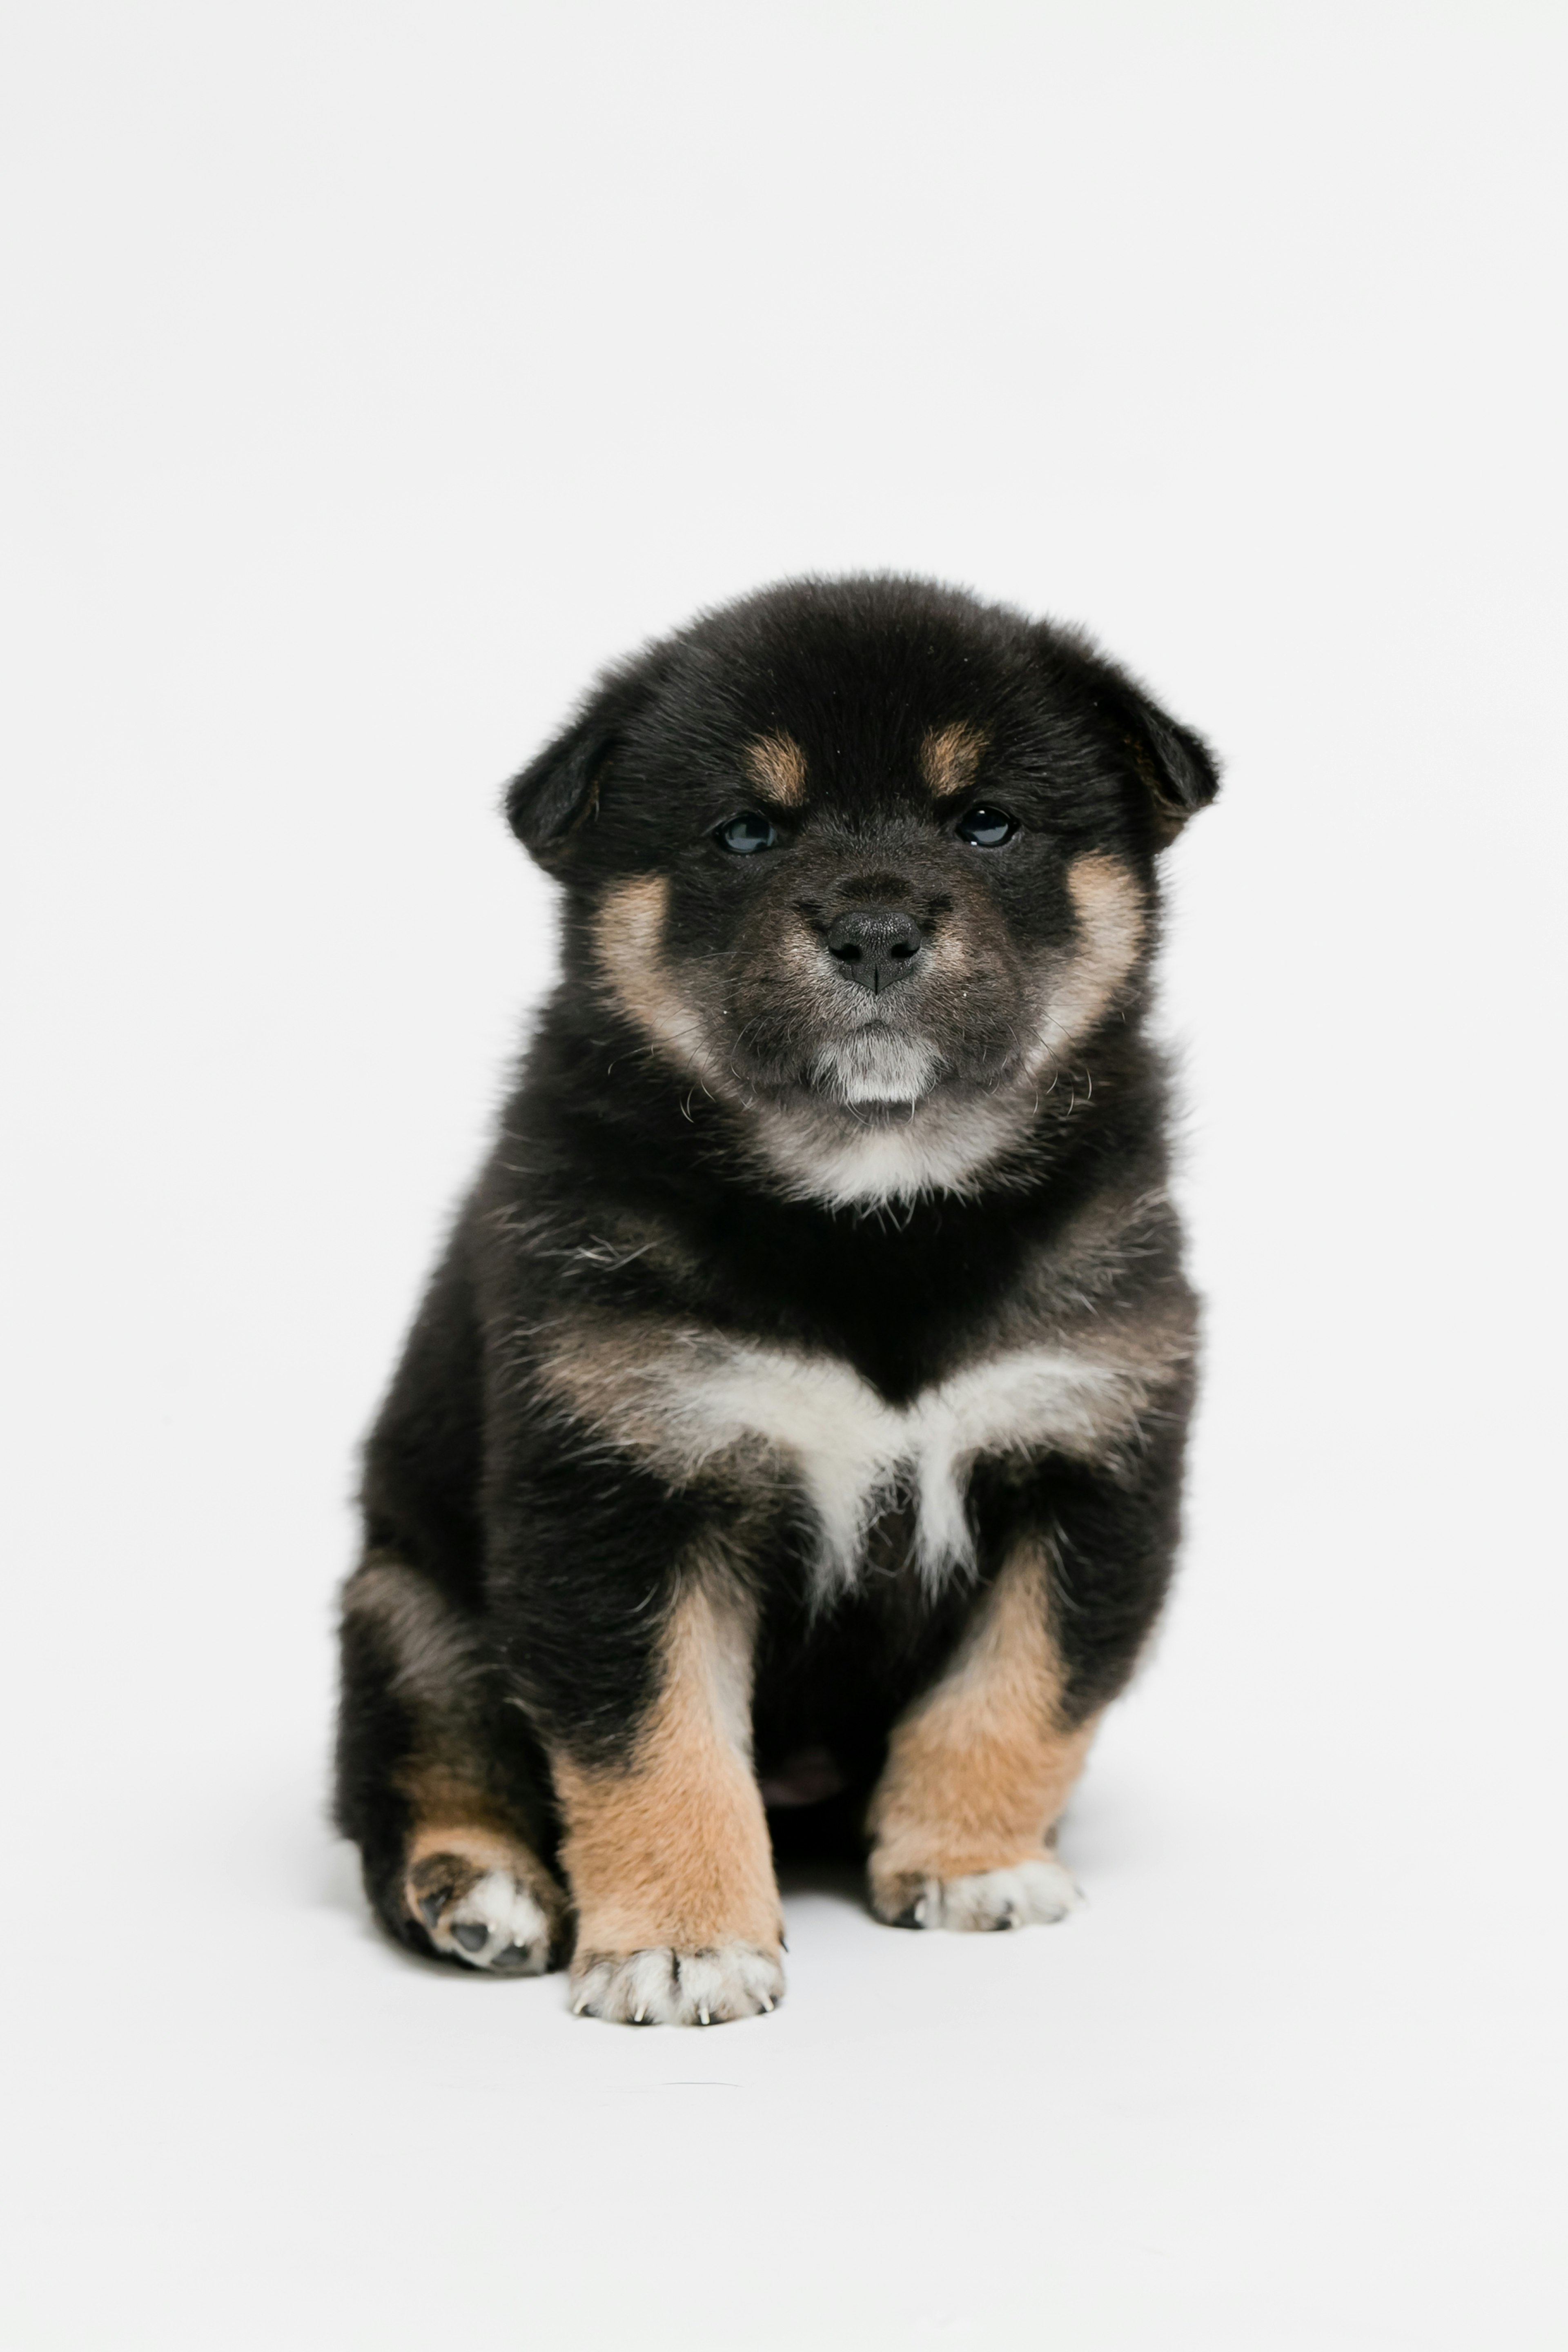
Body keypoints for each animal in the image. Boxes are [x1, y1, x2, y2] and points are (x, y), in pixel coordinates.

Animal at [339, 574, 1222, 2022]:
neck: (873, 1215)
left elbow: (1016, 1689)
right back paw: (480, 1891)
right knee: (419, 1766)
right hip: (403, 1604)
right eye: (746, 831)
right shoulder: (622, 1487)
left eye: (986, 820)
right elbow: (655, 1739)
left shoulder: (1086, 1458)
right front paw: (681, 1943)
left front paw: (969, 1863)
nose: (874, 930)